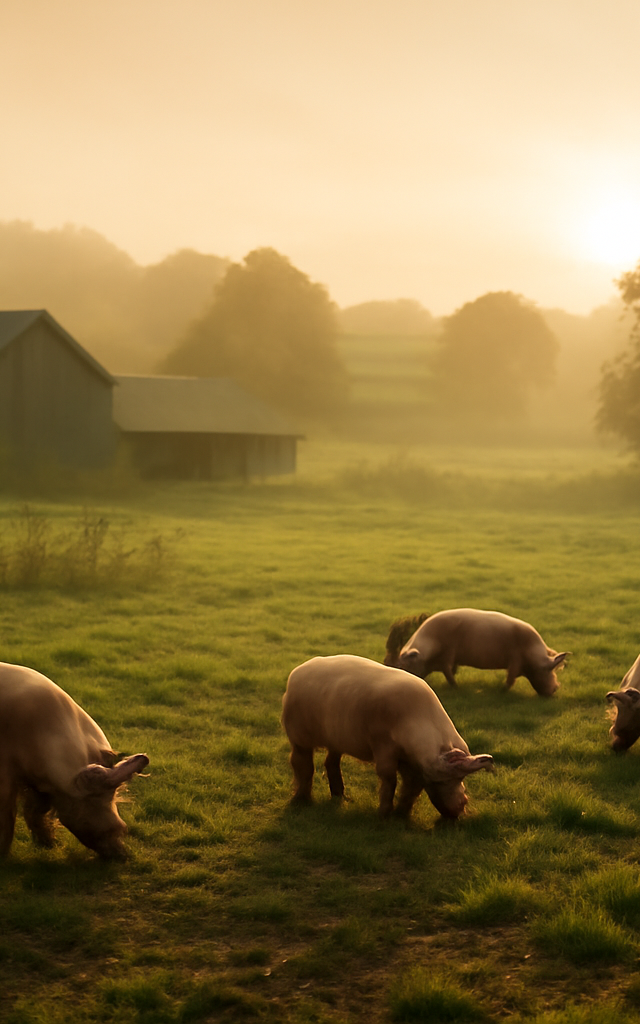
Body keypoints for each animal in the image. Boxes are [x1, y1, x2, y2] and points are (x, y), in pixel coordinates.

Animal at [0, 662, 149, 860]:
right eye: (117, 827)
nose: (123, 856)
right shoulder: (6, 776)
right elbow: (8, 815)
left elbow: (37, 811)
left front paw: (50, 845)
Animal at [281, 655, 494, 819]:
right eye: (444, 779)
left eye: (461, 778)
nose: (462, 805)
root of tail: (296, 673)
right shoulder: (382, 745)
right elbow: (389, 778)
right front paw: (383, 816)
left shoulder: (411, 763)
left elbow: (412, 786)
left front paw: (401, 815)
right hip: (297, 735)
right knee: (302, 764)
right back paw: (301, 801)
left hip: (336, 738)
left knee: (330, 762)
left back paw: (342, 798)